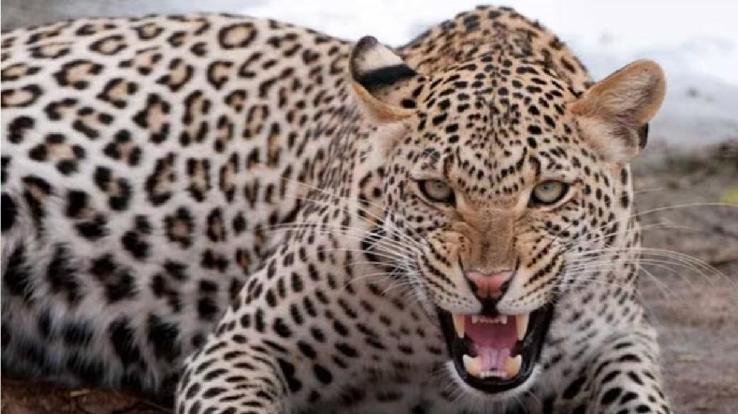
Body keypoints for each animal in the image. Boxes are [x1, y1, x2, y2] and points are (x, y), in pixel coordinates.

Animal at [1, 5, 672, 413]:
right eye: (436, 191)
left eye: (549, 192)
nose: (488, 284)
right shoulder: (240, 346)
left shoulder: (621, 339)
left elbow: (640, 398)